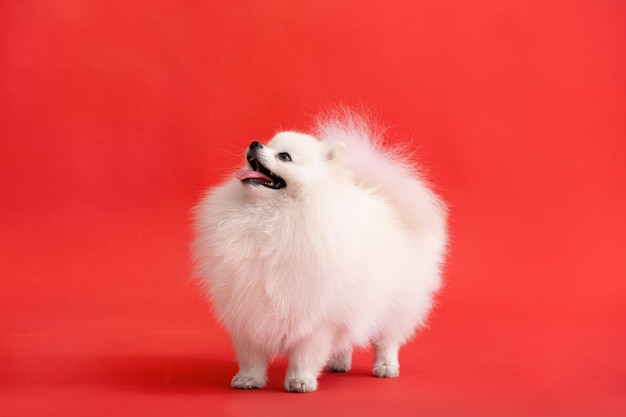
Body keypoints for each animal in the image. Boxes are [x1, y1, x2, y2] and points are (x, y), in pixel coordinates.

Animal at [193, 112, 446, 392]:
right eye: (268, 143)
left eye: (284, 156)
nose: (255, 143)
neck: (270, 219)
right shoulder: (246, 308)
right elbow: (251, 354)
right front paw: (248, 379)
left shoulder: (315, 314)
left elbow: (305, 353)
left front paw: (300, 381)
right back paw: (338, 362)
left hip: (396, 302)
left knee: (387, 340)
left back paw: (385, 367)